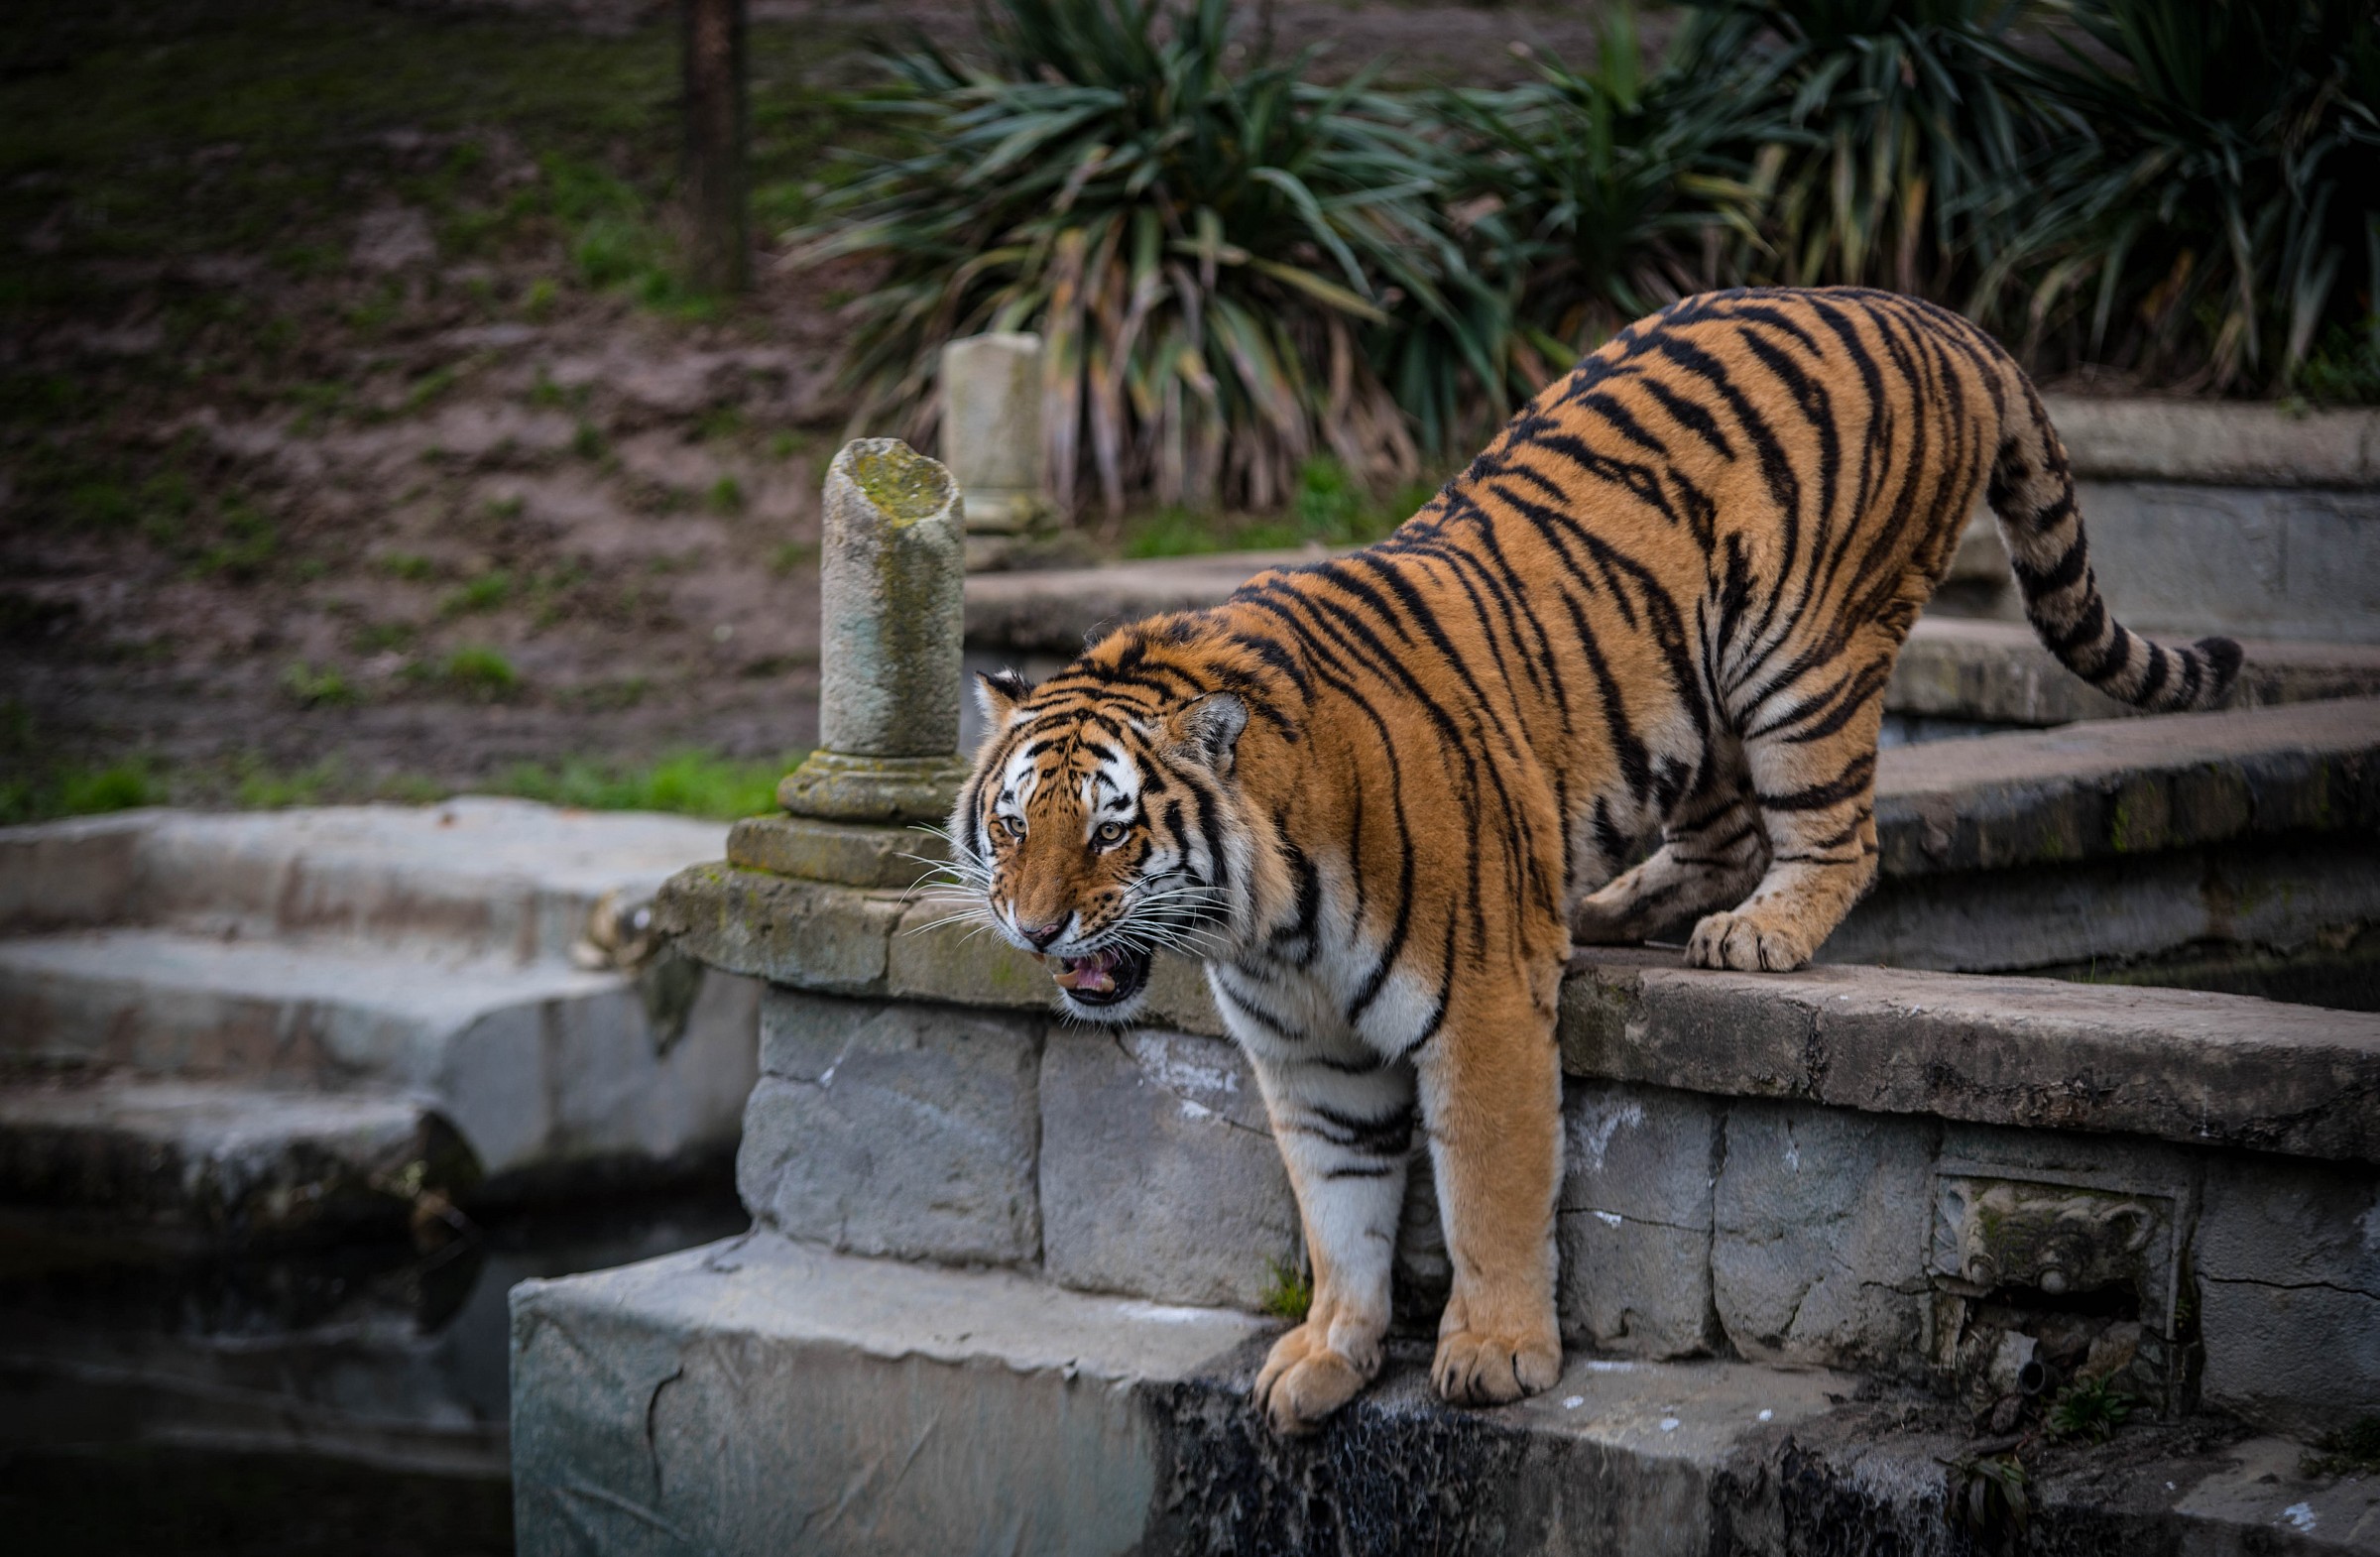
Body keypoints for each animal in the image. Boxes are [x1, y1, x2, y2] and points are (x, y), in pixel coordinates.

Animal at [947, 286, 2241, 1435]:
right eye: (1012, 826)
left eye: (1111, 829)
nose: (1037, 928)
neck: (1263, 920)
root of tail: (1938, 315)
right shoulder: (1304, 1053)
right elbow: (1338, 1208)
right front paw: (1323, 1357)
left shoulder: (1478, 1011)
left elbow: (1489, 1190)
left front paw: (1496, 1353)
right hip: (1688, 702)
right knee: (1725, 834)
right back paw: (1615, 909)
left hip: (1800, 654)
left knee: (1835, 830)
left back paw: (1761, 934)